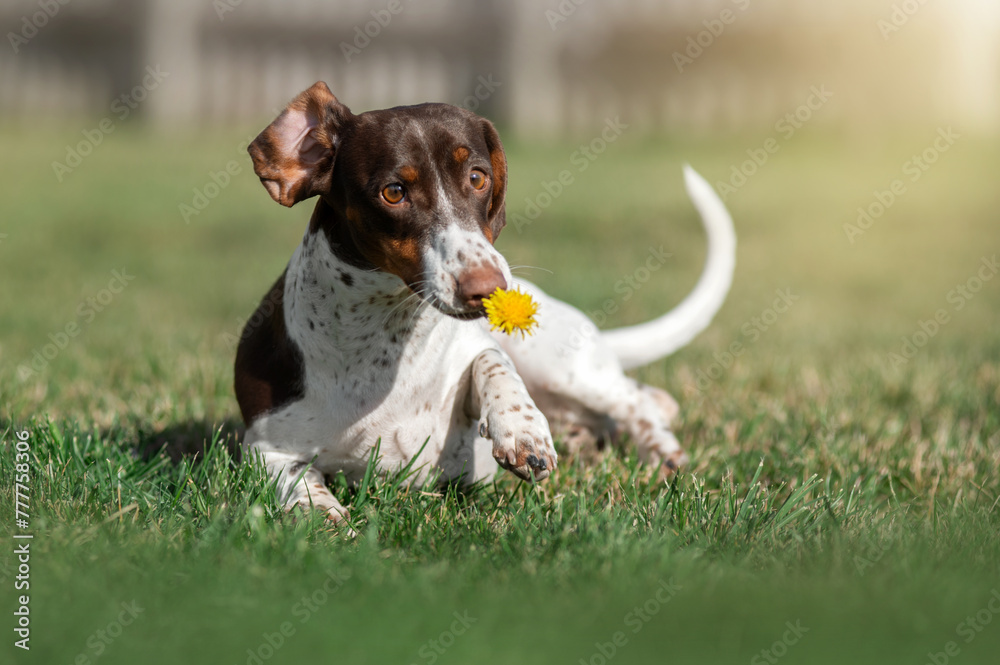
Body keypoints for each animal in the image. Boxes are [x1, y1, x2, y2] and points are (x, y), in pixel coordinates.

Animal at [234, 81, 736, 524]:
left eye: (478, 177)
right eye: (393, 192)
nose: (490, 288)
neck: (385, 344)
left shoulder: (479, 355)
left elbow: (490, 360)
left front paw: (523, 430)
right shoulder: (264, 448)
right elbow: (296, 478)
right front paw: (320, 512)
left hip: (561, 365)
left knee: (637, 399)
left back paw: (660, 451)